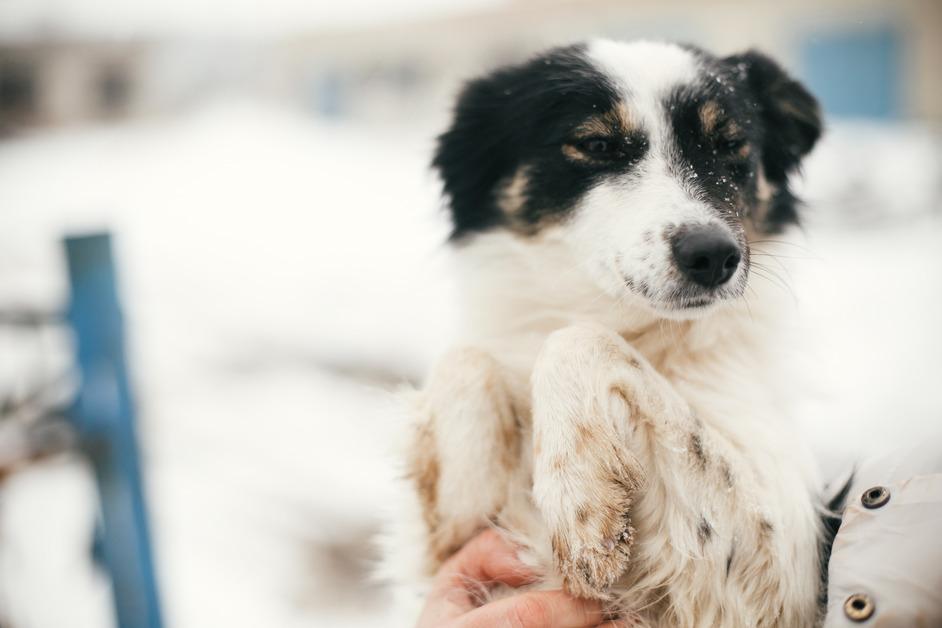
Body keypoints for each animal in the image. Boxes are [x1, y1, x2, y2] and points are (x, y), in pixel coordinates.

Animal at [384, 40, 824, 628]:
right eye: (596, 144)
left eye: (731, 145)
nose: (714, 256)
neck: (629, 320)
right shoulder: (449, 557)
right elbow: (466, 359)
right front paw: (473, 484)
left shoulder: (780, 559)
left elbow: (575, 339)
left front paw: (577, 499)